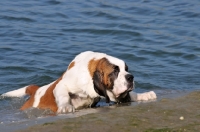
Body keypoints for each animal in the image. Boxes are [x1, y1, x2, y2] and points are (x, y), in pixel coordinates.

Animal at [1, 51, 156, 113]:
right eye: (114, 72)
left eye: (126, 69)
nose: (130, 77)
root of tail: (36, 91)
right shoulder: (63, 84)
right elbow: (63, 94)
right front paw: (65, 107)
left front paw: (143, 95)